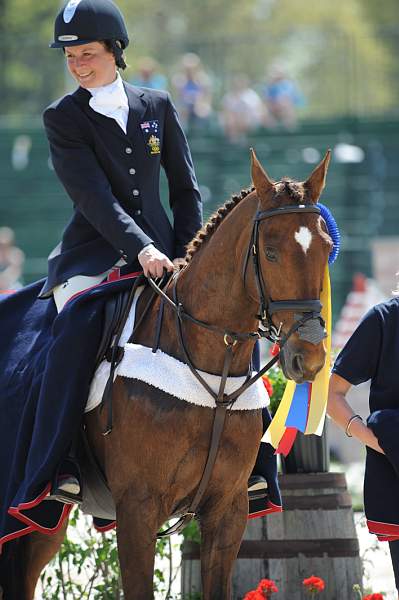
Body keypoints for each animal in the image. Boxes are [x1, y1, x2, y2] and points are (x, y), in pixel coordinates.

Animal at [1, 150, 332, 600]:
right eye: (270, 251)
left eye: (327, 247)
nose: (310, 356)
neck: (212, 383)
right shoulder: (138, 508)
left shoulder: (228, 511)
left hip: (42, 522)